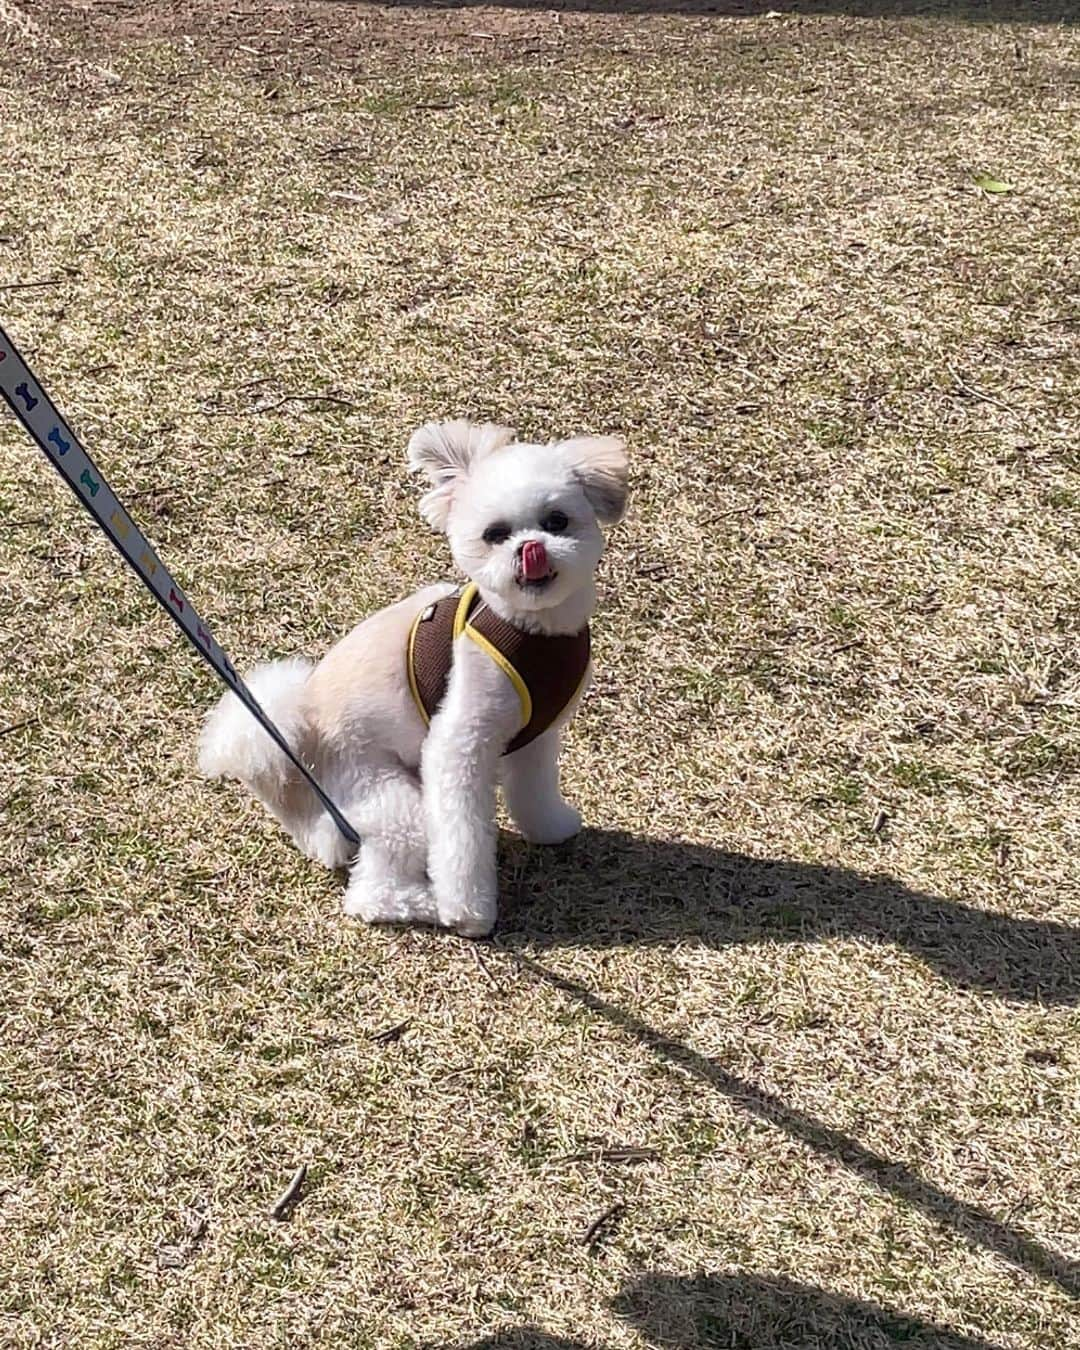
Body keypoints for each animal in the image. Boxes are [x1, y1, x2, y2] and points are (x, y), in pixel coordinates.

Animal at [198, 415, 629, 934]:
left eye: (556, 521)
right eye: (495, 533)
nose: (531, 549)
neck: (531, 630)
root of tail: (296, 744)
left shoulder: (536, 737)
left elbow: (535, 789)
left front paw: (552, 826)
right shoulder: (458, 745)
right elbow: (461, 837)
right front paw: (469, 912)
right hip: (387, 796)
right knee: (372, 893)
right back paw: (430, 905)